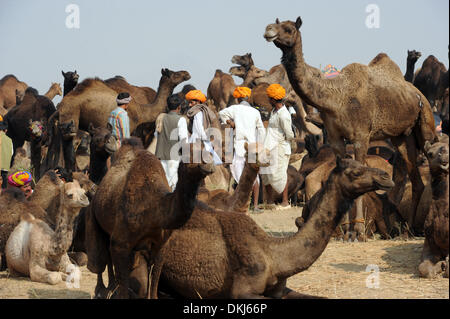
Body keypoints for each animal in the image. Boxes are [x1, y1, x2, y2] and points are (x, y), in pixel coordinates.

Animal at [142, 158, 392, 300]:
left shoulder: (281, 290)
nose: (386, 176)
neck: (274, 255)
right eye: (355, 173)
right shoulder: (242, 290)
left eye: (362, 165)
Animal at [266, 16, 438, 239]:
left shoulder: (361, 137)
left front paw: (358, 231)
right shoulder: (336, 139)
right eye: (275, 24)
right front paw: (346, 229)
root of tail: (417, 93)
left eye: (289, 29)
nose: (269, 30)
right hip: (402, 137)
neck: (337, 97)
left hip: (426, 125)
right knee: (416, 180)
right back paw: (409, 229)